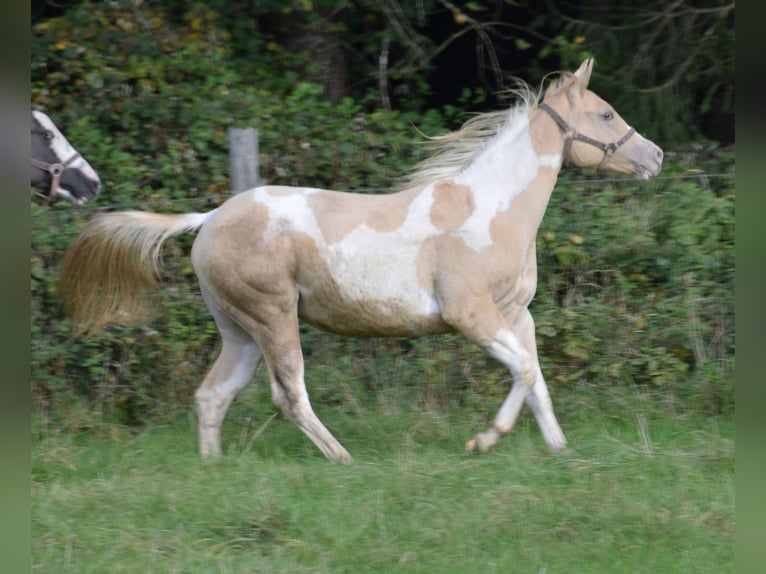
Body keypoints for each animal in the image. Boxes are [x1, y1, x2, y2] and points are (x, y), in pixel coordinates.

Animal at [60, 59, 664, 464]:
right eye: (607, 114)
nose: (655, 155)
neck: (489, 208)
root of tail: (209, 218)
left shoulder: (517, 314)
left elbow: (535, 377)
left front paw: (559, 449)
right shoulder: (471, 314)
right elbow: (525, 369)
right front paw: (482, 440)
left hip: (239, 329)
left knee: (212, 395)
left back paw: (215, 469)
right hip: (273, 317)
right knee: (287, 393)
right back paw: (341, 457)